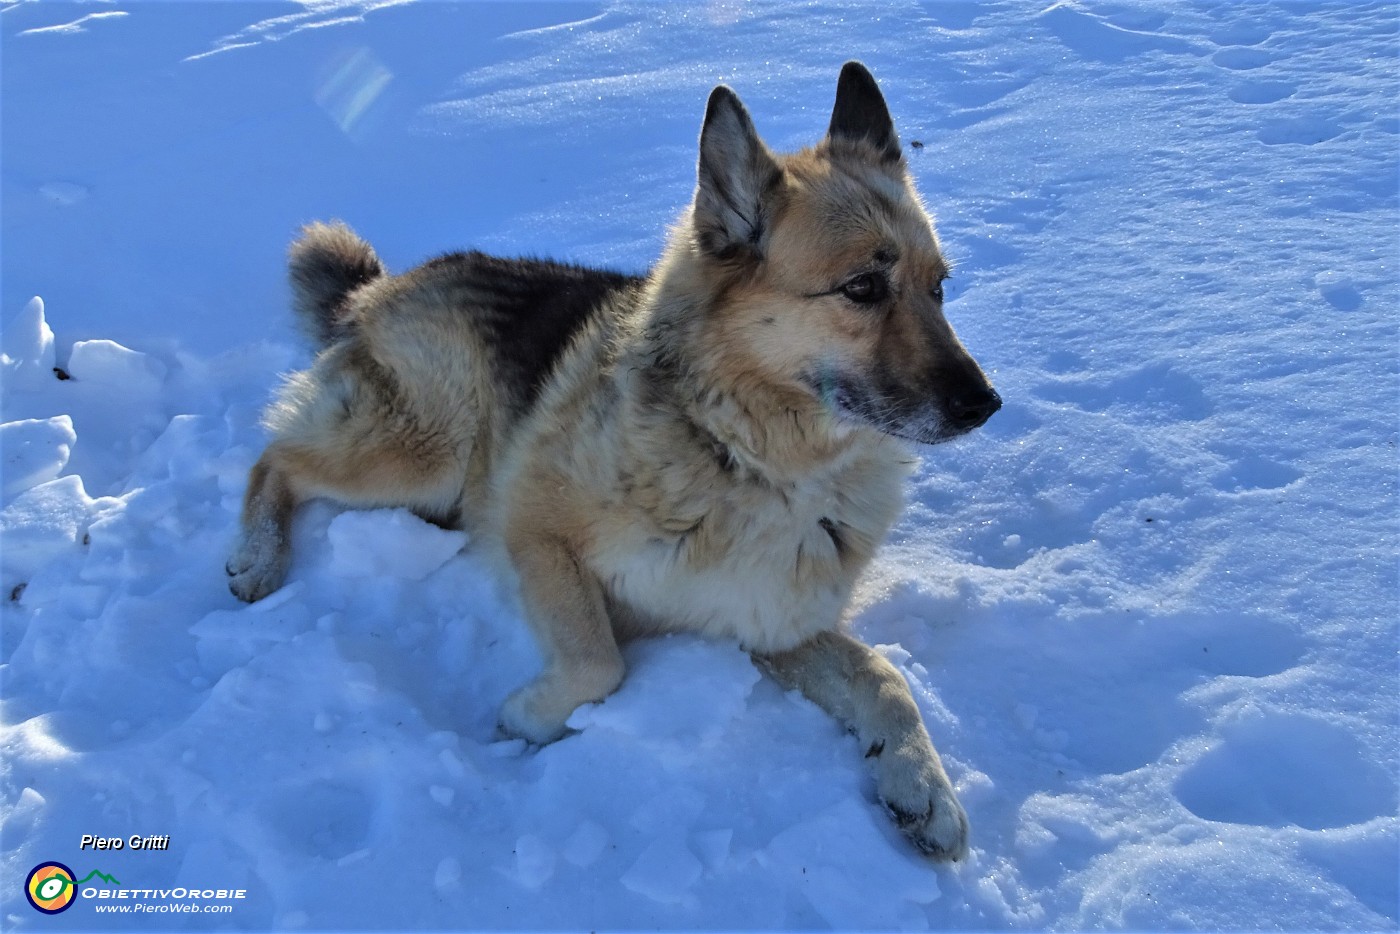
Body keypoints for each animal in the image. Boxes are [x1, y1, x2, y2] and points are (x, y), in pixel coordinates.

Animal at [229, 60, 996, 862]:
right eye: (863, 288)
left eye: (940, 288)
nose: (986, 404)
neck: (746, 462)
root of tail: (385, 283)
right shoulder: (537, 534)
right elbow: (601, 664)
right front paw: (529, 716)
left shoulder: (764, 627)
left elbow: (882, 676)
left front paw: (922, 783)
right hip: (427, 453)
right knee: (275, 457)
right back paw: (258, 557)